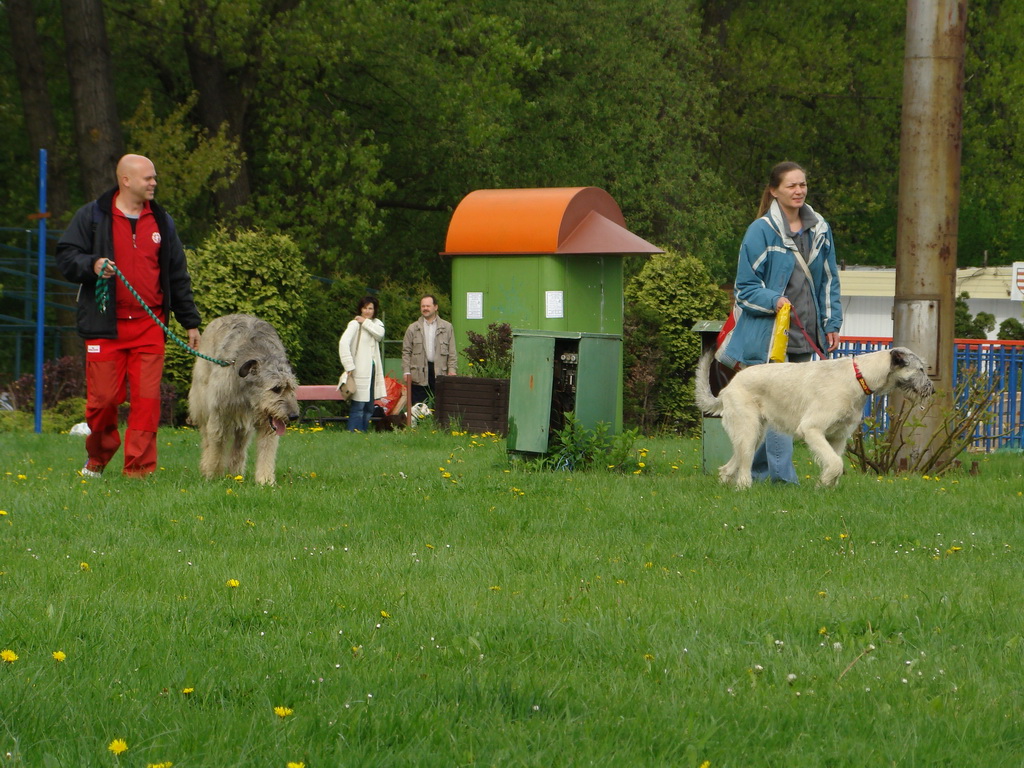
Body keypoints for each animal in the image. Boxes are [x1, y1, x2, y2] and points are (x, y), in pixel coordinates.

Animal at [188, 313, 299, 483]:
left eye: (291, 388)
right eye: (276, 389)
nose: (294, 416)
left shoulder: (267, 424)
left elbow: (267, 450)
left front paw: (265, 480)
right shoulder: (219, 414)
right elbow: (217, 446)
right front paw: (213, 475)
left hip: (243, 423)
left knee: (239, 447)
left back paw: (236, 473)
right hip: (202, 402)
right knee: (207, 437)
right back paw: (207, 466)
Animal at [696, 348, 937, 489]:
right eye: (920, 369)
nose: (933, 390)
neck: (859, 376)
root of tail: (727, 389)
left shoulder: (838, 437)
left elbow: (836, 461)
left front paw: (827, 486)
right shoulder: (812, 429)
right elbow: (836, 463)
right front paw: (824, 482)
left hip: (754, 436)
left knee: (731, 464)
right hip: (748, 430)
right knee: (744, 465)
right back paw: (744, 487)